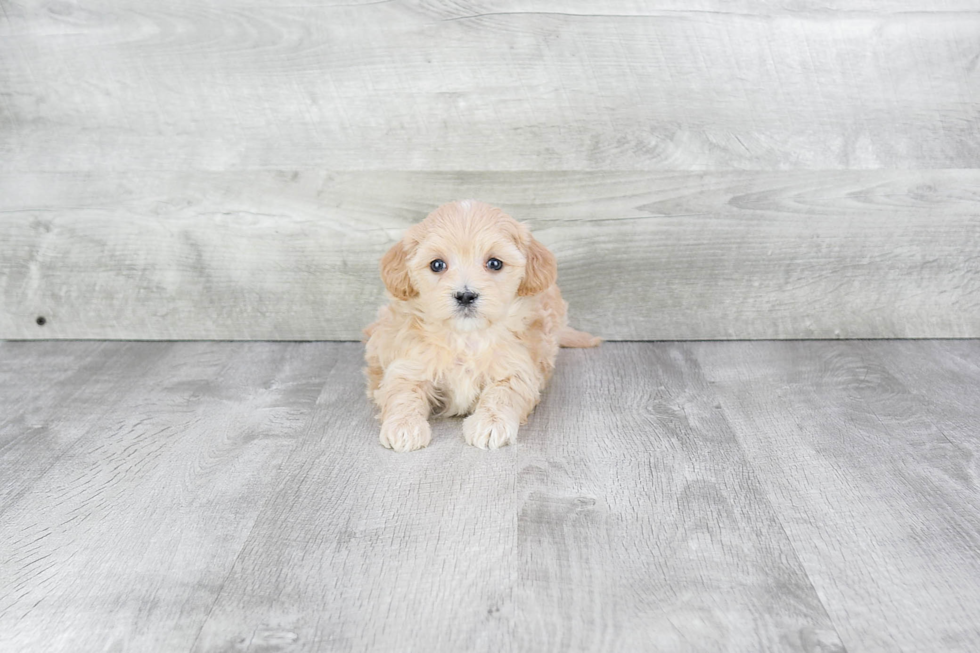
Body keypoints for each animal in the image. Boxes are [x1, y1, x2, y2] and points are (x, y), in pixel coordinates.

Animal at [366, 201, 600, 450]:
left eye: (494, 263)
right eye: (437, 265)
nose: (465, 295)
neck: (467, 337)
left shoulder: (517, 368)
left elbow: (503, 393)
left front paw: (491, 424)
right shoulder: (410, 363)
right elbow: (402, 392)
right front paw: (404, 426)